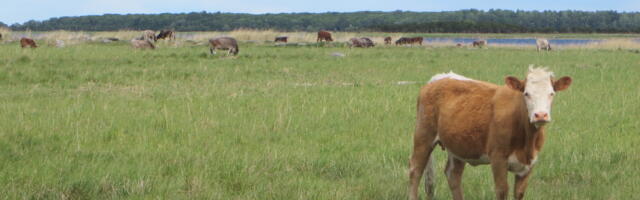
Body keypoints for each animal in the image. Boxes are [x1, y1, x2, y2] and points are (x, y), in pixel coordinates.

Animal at [412, 66, 572, 199]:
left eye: (552, 93)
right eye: (526, 94)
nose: (540, 115)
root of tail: (441, 78)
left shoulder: (529, 164)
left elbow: (519, 193)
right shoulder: (498, 158)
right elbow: (502, 191)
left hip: (457, 146)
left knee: (453, 175)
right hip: (423, 137)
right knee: (415, 171)